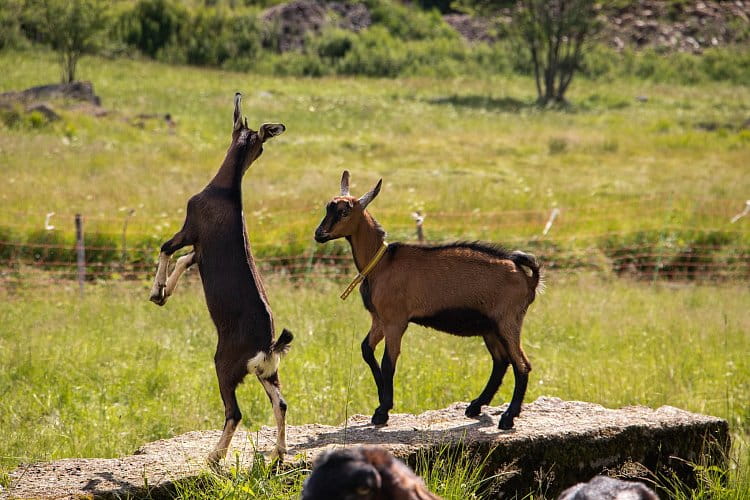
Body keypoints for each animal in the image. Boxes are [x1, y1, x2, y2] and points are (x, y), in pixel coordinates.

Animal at [148, 94, 292, 464]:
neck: (226, 191)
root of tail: (267, 346)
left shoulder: (190, 229)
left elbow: (167, 248)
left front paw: (156, 291)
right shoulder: (200, 250)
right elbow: (184, 261)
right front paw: (164, 292)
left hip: (225, 364)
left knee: (235, 411)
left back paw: (214, 456)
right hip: (268, 373)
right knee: (281, 403)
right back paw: (277, 454)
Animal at [314, 172, 544, 430]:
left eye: (344, 212)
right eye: (327, 208)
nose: (319, 234)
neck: (380, 263)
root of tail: (529, 279)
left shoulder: (396, 320)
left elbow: (388, 361)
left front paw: (383, 411)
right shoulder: (379, 319)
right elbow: (366, 349)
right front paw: (383, 401)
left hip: (508, 320)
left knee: (521, 364)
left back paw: (507, 417)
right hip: (490, 326)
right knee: (501, 361)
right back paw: (475, 406)